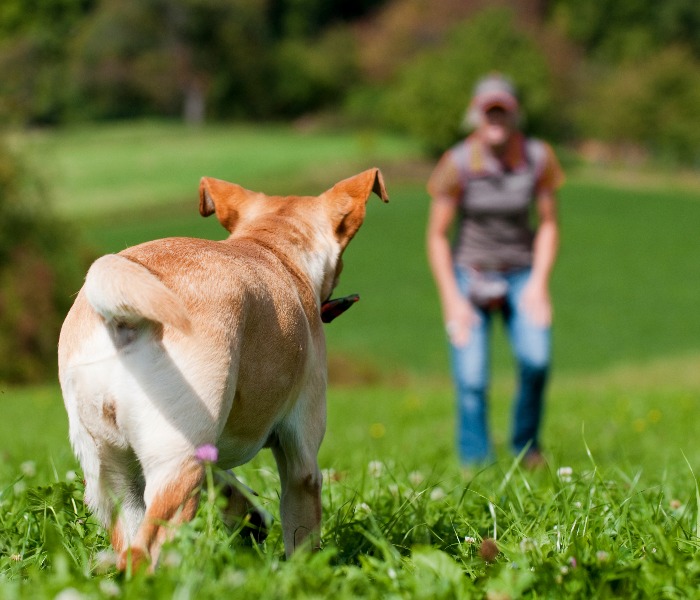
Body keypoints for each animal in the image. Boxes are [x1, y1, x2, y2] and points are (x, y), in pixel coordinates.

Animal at [57, 168, 388, 568]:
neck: (272, 246)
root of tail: (121, 316)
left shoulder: (211, 446)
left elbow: (226, 479)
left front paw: (249, 519)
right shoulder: (301, 456)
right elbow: (302, 531)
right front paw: (303, 573)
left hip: (114, 477)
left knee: (130, 540)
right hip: (177, 464)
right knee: (149, 549)